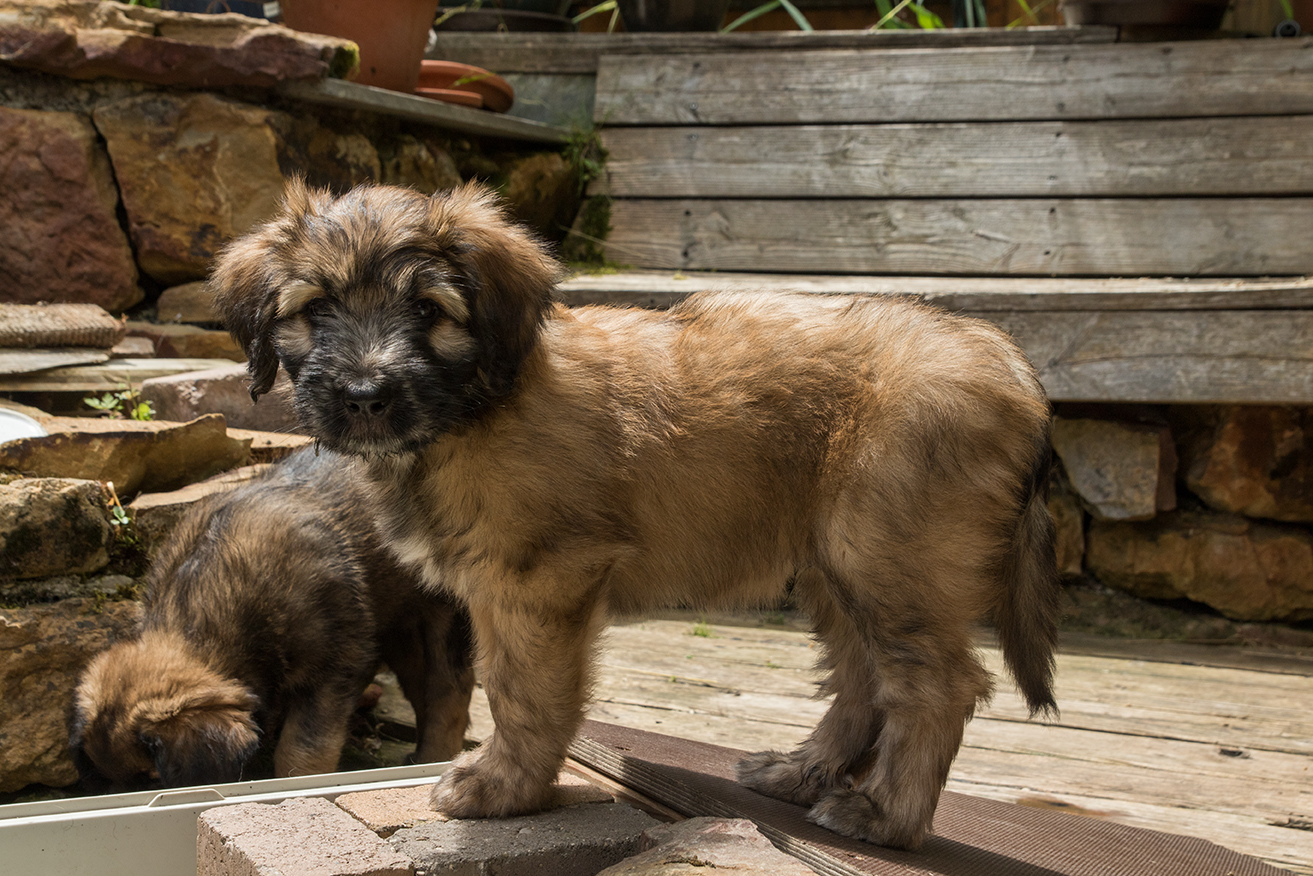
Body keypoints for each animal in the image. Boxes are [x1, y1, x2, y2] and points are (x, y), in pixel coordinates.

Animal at [69, 446, 475, 790]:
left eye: (154, 778)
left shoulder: (333, 666)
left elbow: (302, 748)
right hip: (399, 627)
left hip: (444, 616)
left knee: (449, 689)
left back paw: (435, 758)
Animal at [210, 180, 1059, 850]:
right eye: (315, 308)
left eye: (427, 309)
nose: (364, 396)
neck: (478, 403)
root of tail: (1007, 362)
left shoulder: (540, 579)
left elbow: (521, 690)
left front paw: (505, 788)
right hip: (834, 565)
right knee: (861, 677)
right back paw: (801, 771)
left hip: (888, 557)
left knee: (934, 685)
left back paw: (886, 815)